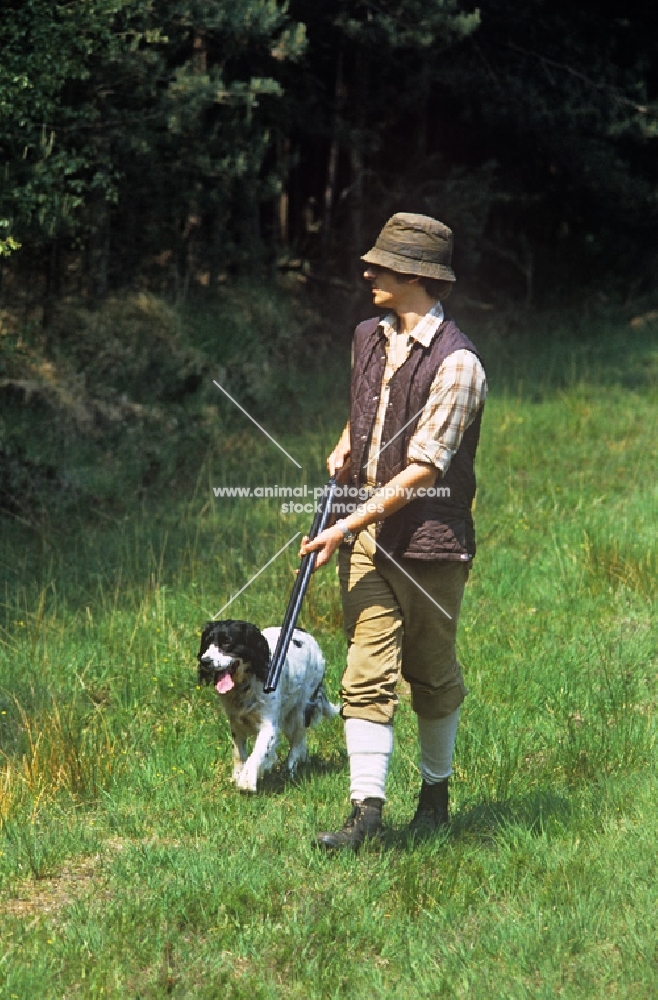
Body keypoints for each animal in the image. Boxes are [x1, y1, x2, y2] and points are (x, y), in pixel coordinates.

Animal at [196, 620, 338, 792]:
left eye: (227, 642)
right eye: (207, 642)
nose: (205, 661)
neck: (246, 683)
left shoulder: (269, 724)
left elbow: (257, 752)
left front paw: (247, 781)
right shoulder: (236, 721)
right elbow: (238, 752)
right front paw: (237, 776)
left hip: (300, 710)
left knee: (296, 742)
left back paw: (289, 771)